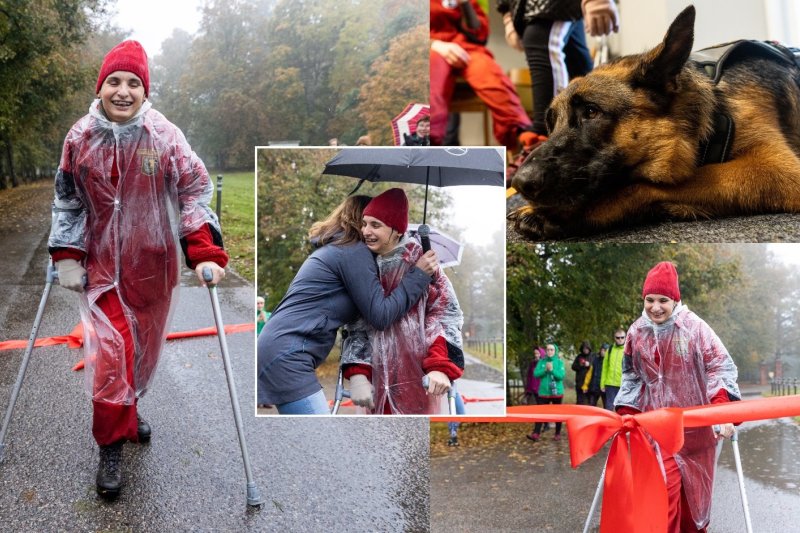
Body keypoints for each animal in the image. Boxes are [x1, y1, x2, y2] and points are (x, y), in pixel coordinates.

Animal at [510, 5, 800, 238]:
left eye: (591, 112)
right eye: (550, 125)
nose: (519, 183)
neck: (714, 110)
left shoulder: (776, 167)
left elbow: (648, 183)